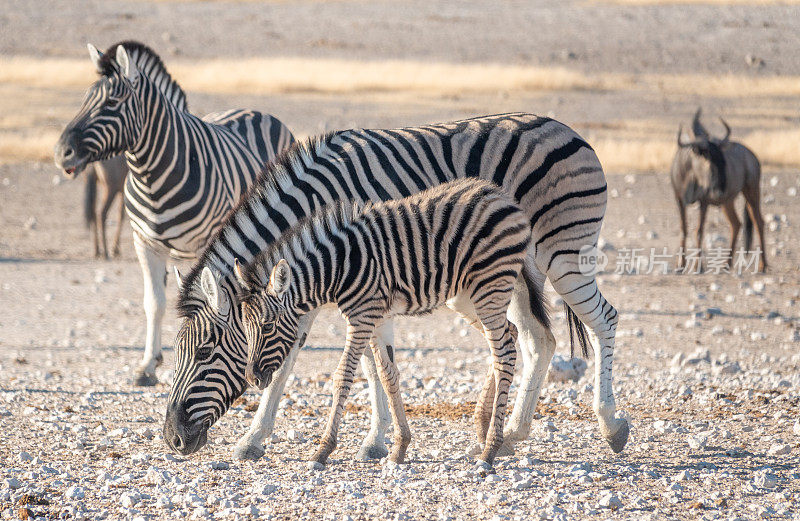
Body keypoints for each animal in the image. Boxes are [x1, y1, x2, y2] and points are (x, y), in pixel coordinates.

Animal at [54, 41, 296, 386]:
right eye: (85, 98)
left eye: (112, 102)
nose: (61, 153)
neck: (153, 176)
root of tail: (254, 110)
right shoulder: (145, 243)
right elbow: (154, 303)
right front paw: (148, 365)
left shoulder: (207, 245)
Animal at [231, 179, 536, 468]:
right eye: (245, 329)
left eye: (268, 326)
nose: (252, 378)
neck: (339, 268)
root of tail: (501, 196)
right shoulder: (379, 317)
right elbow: (389, 376)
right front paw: (399, 448)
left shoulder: (361, 317)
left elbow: (343, 376)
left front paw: (323, 450)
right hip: (466, 296)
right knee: (508, 335)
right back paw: (483, 431)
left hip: (490, 286)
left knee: (504, 353)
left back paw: (490, 449)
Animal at [672, 109, 764, 272]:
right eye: (708, 162)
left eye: (723, 161)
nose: (719, 190)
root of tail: (752, 157)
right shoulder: (680, 200)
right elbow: (684, 229)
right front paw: (680, 265)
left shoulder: (703, 202)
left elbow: (699, 231)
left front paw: (698, 266)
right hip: (728, 201)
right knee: (736, 223)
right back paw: (726, 264)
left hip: (751, 191)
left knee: (758, 221)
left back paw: (762, 265)